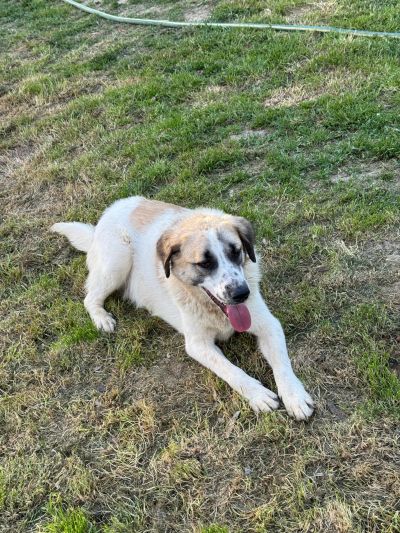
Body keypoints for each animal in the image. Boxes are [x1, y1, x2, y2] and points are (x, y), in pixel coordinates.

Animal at [51, 196, 314, 420]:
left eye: (236, 252)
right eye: (204, 263)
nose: (242, 294)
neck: (214, 311)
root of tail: (105, 218)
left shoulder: (268, 324)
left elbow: (282, 364)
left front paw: (295, 397)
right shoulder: (198, 344)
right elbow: (231, 371)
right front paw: (258, 394)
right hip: (117, 261)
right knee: (89, 297)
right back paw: (101, 318)